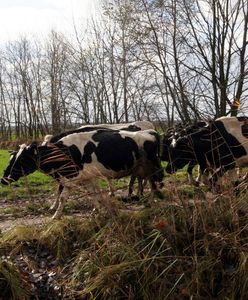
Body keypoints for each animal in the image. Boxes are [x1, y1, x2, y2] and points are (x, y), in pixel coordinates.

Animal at [0, 128, 164, 218]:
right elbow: (94, 195)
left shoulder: (71, 179)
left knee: (153, 184)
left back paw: (152, 202)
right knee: (150, 183)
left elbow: (63, 197)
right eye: (12, 158)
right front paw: (99, 211)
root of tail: (150, 131)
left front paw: (55, 216)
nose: (4, 179)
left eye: (22, 159)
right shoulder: (86, 178)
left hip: (151, 167)